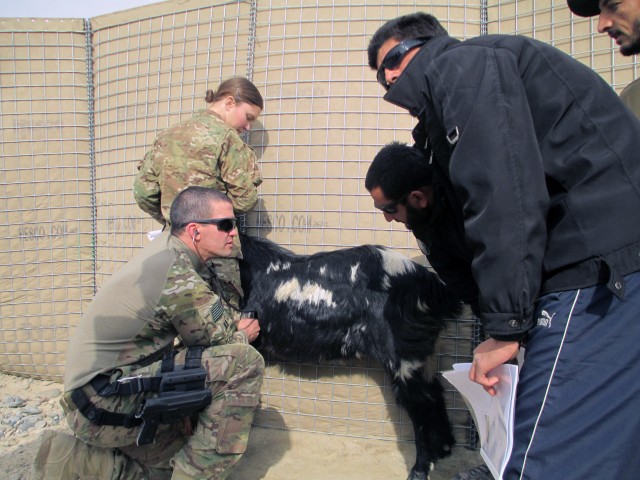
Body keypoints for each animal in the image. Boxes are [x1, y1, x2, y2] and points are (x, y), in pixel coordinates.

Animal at [238, 233, 462, 480]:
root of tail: (431, 284)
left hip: (405, 357)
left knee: (423, 405)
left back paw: (420, 469)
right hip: (423, 356)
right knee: (436, 393)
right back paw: (444, 449)